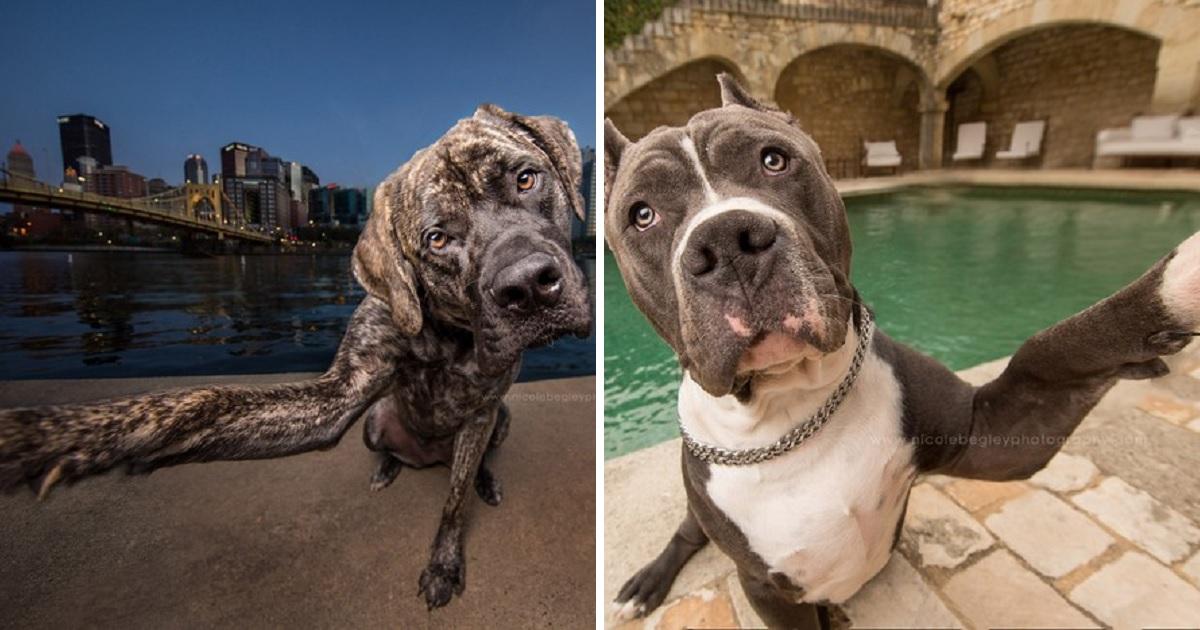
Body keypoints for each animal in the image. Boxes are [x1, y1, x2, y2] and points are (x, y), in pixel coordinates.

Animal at [0, 105, 592, 612]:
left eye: (526, 179)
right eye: (437, 239)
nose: (529, 287)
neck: (453, 334)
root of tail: (428, 458)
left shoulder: (483, 410)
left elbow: (453, 503)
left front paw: (444, 563)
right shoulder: (340, 395)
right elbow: (198, 402)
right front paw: (57, 436)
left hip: (500, 420)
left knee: (472, 465)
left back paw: (483, 480)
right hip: (373, 425)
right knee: (389, 449)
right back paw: (386, 469)